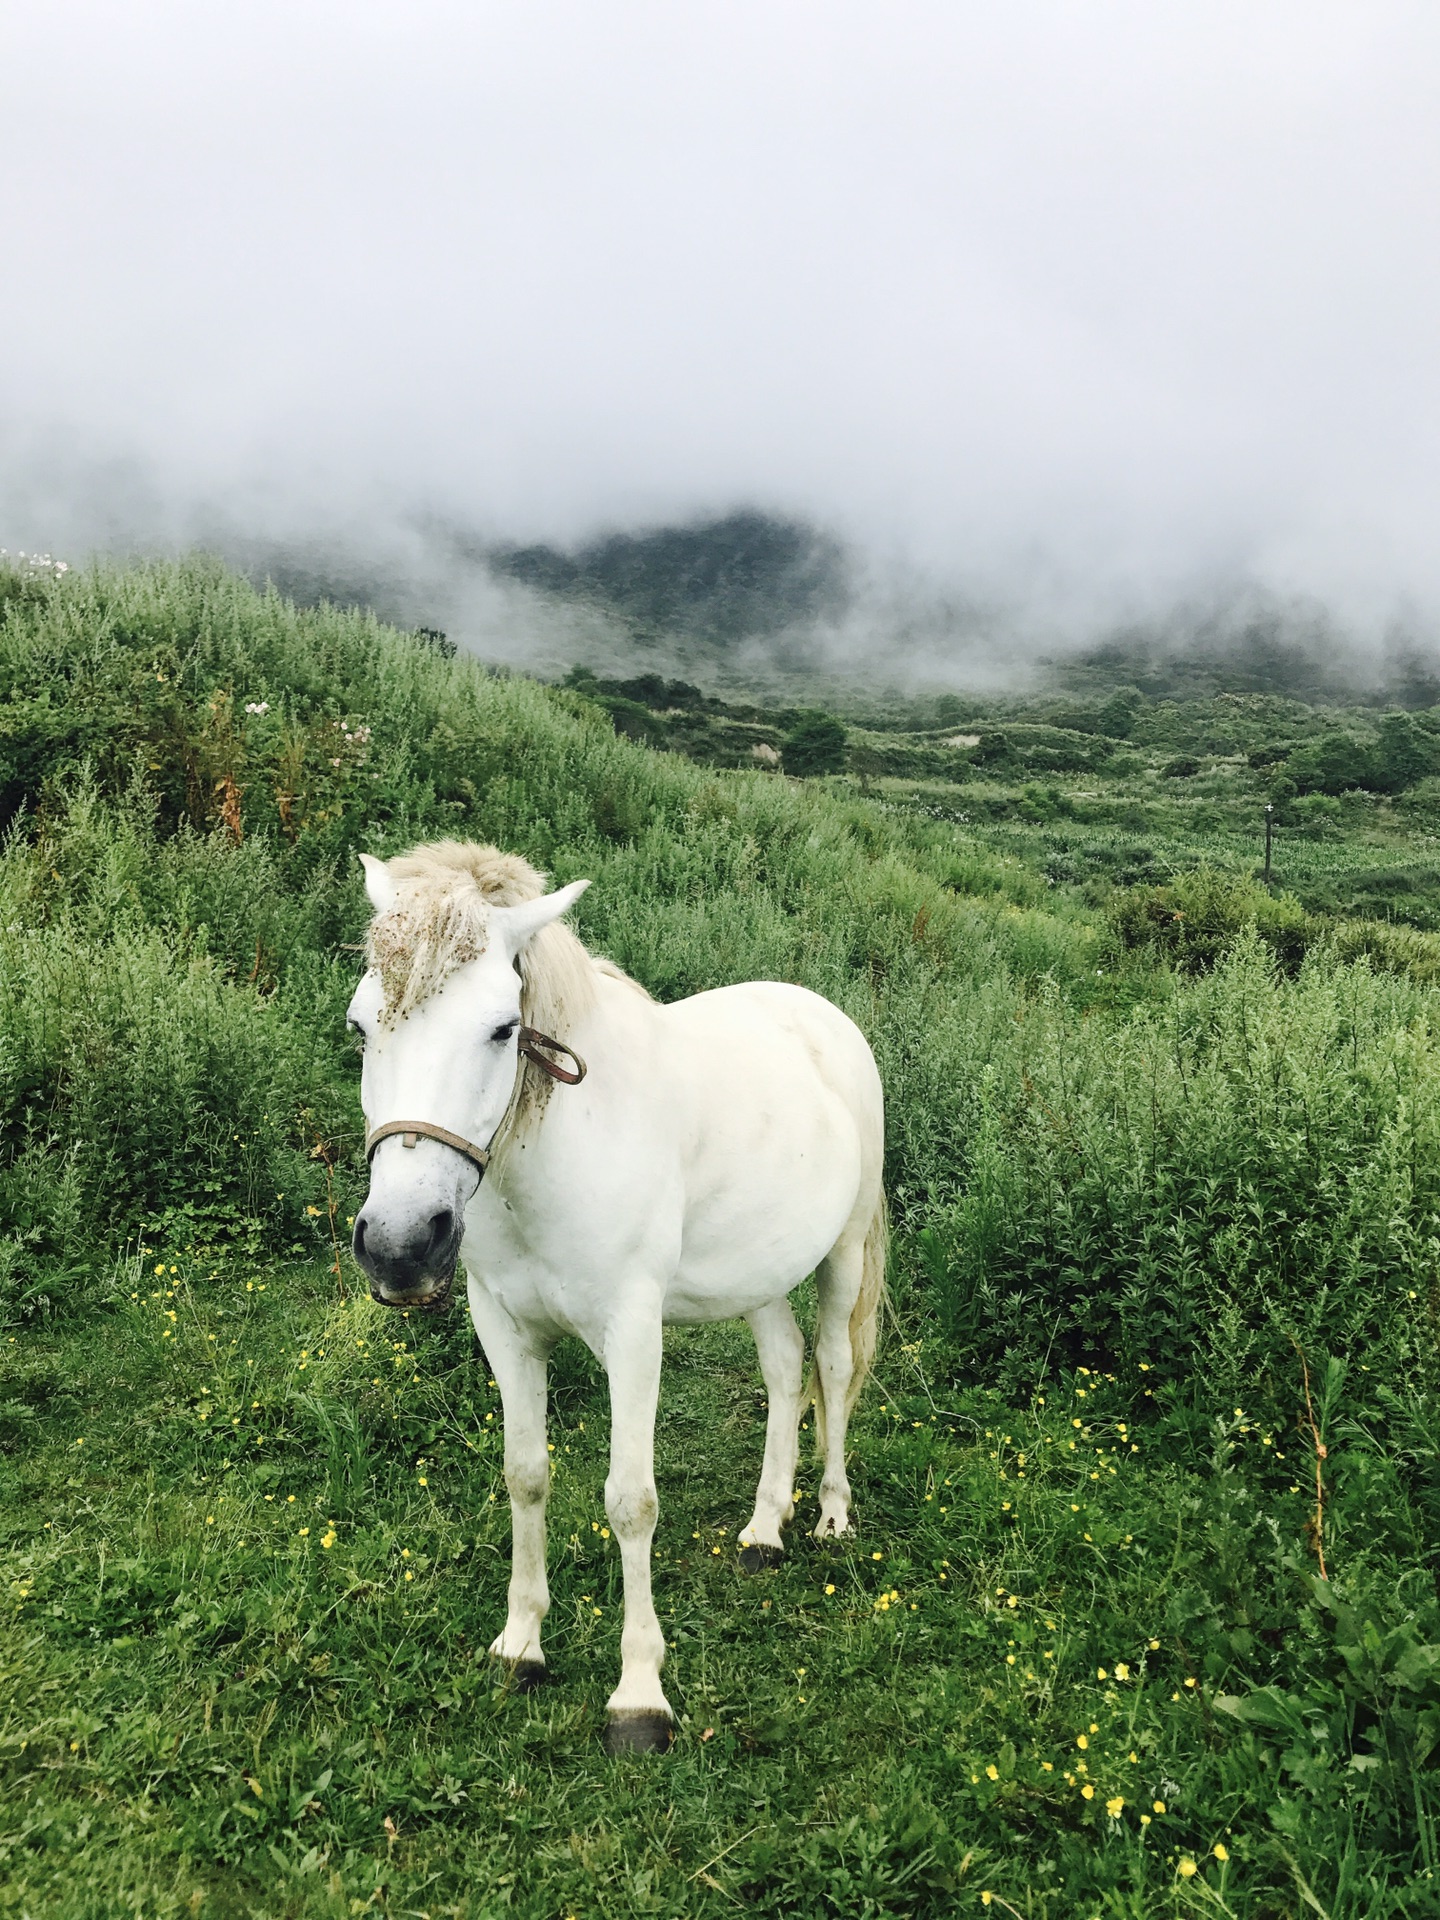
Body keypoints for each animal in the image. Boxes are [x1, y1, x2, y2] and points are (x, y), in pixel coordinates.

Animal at [351, 840, 890, 1758]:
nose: (399, 1244)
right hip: (757, 1273)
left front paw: (639, 1698)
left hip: (842, 1255)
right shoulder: (505, 1329)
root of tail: (822, 1016)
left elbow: (630, 1501)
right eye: (360, 1025)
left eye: (503, 1028)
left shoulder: (632, 1333)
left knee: (832, 1365)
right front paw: (520, 1646)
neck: (558, 1149)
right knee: (786, 1371)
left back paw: (828, 1516)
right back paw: (763, 1531)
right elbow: (526, 1475)